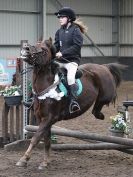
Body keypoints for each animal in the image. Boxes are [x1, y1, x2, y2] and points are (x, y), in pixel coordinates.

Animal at [16, 38, 126, 169]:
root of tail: (104, 67)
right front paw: (45, 161)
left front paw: (24, 159)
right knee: (95, 109)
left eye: (43, 50)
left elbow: (36, 137)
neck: (46, 87)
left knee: (100, 105)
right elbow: (46, 139)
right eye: (34, 45)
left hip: (105, 95)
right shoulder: (41, 118)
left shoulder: (50, 118)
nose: (26, 49)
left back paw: (100, 115)